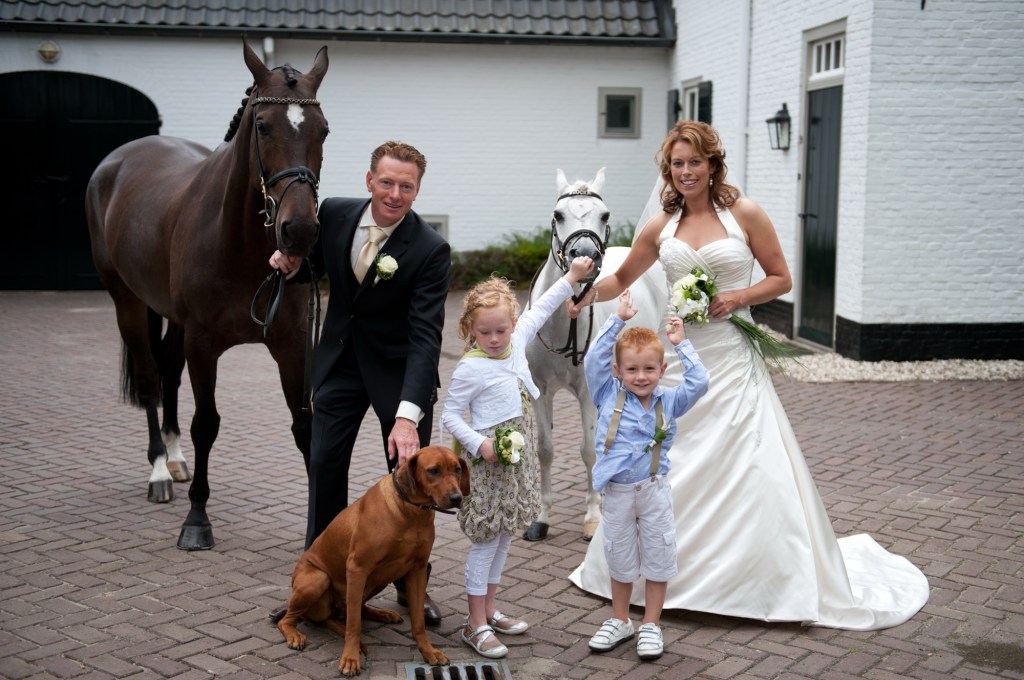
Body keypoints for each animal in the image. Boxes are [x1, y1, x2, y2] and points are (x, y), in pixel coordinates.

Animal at [85, 41, 329, 550]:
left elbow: (304, 425)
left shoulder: (293, 345)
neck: (239, 244)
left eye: (323, 129)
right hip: (127, 302)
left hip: (173, 319)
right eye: (262, 126)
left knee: (169, 371)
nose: (299, 231)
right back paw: (160, 470)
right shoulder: (204, 344)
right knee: (150, 377)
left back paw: (175, 459)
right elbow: (207, 424)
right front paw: (197, 519)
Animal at [278, 445, 470, 676]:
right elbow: (354, 626)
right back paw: (293, 634)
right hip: (318, 579)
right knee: (292, 618)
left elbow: (418, 622)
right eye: (433, 470)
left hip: (380, 579)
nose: (457, 497)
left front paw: (428, 651)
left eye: (457, 469)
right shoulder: (357, 569)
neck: (411, 510)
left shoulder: (418, 570)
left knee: (354, 609)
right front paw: (350, 658)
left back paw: (382, 613)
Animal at [524, 168, 668, 541]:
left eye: (604, 215)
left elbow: (589, 451)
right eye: (558, 215)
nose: (585, 256)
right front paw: (542, 518)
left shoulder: (588, 393)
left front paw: (592, 517)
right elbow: (545, 450)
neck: (562, 323)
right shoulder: (541, 392)